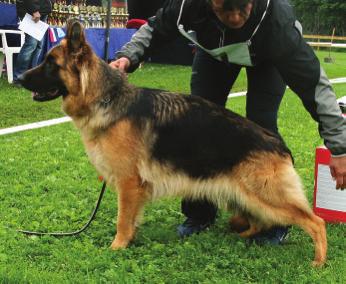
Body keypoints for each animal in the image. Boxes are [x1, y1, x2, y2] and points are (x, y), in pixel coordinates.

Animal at [18, 20, 328, 266]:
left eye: (51, 63)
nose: (19, 77)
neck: (106, 97)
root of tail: (278, 144)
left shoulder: (128, 183)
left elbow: (122, 220)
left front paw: (117, 247)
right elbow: (131, 220)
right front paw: (130, 241)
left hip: (266, 196)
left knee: (315, 222)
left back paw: (318, 262)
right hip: (244, 196)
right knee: (259, 220)